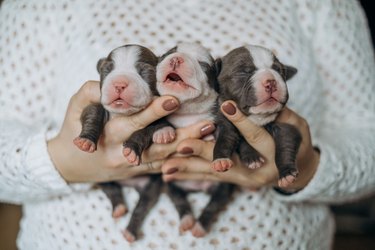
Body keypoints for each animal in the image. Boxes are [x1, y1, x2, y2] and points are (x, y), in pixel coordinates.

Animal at [74, 44, 165, 243]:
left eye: (145, 72)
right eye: (107, 70)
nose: (119, 84)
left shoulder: (152, 121)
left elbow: (144, 131)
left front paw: (132, 149)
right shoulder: (94, 104)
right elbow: (93, 113)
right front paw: (86, 141)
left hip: (152, 185)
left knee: (143, 205)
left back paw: (130, 230)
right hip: (98, 174)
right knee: (111, 189)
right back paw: (119, 208)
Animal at [156, 43, 235, 238]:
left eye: (203, 64)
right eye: (168, 54)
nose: (176, 59)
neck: (187, 113)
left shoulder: (221, 119)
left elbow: (226, 137)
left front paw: (221, 160)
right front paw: (163, 132)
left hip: (223, 186)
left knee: (214, 204)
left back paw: (200, 226)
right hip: (169, 181)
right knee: (178, 199)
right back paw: (186, 220)